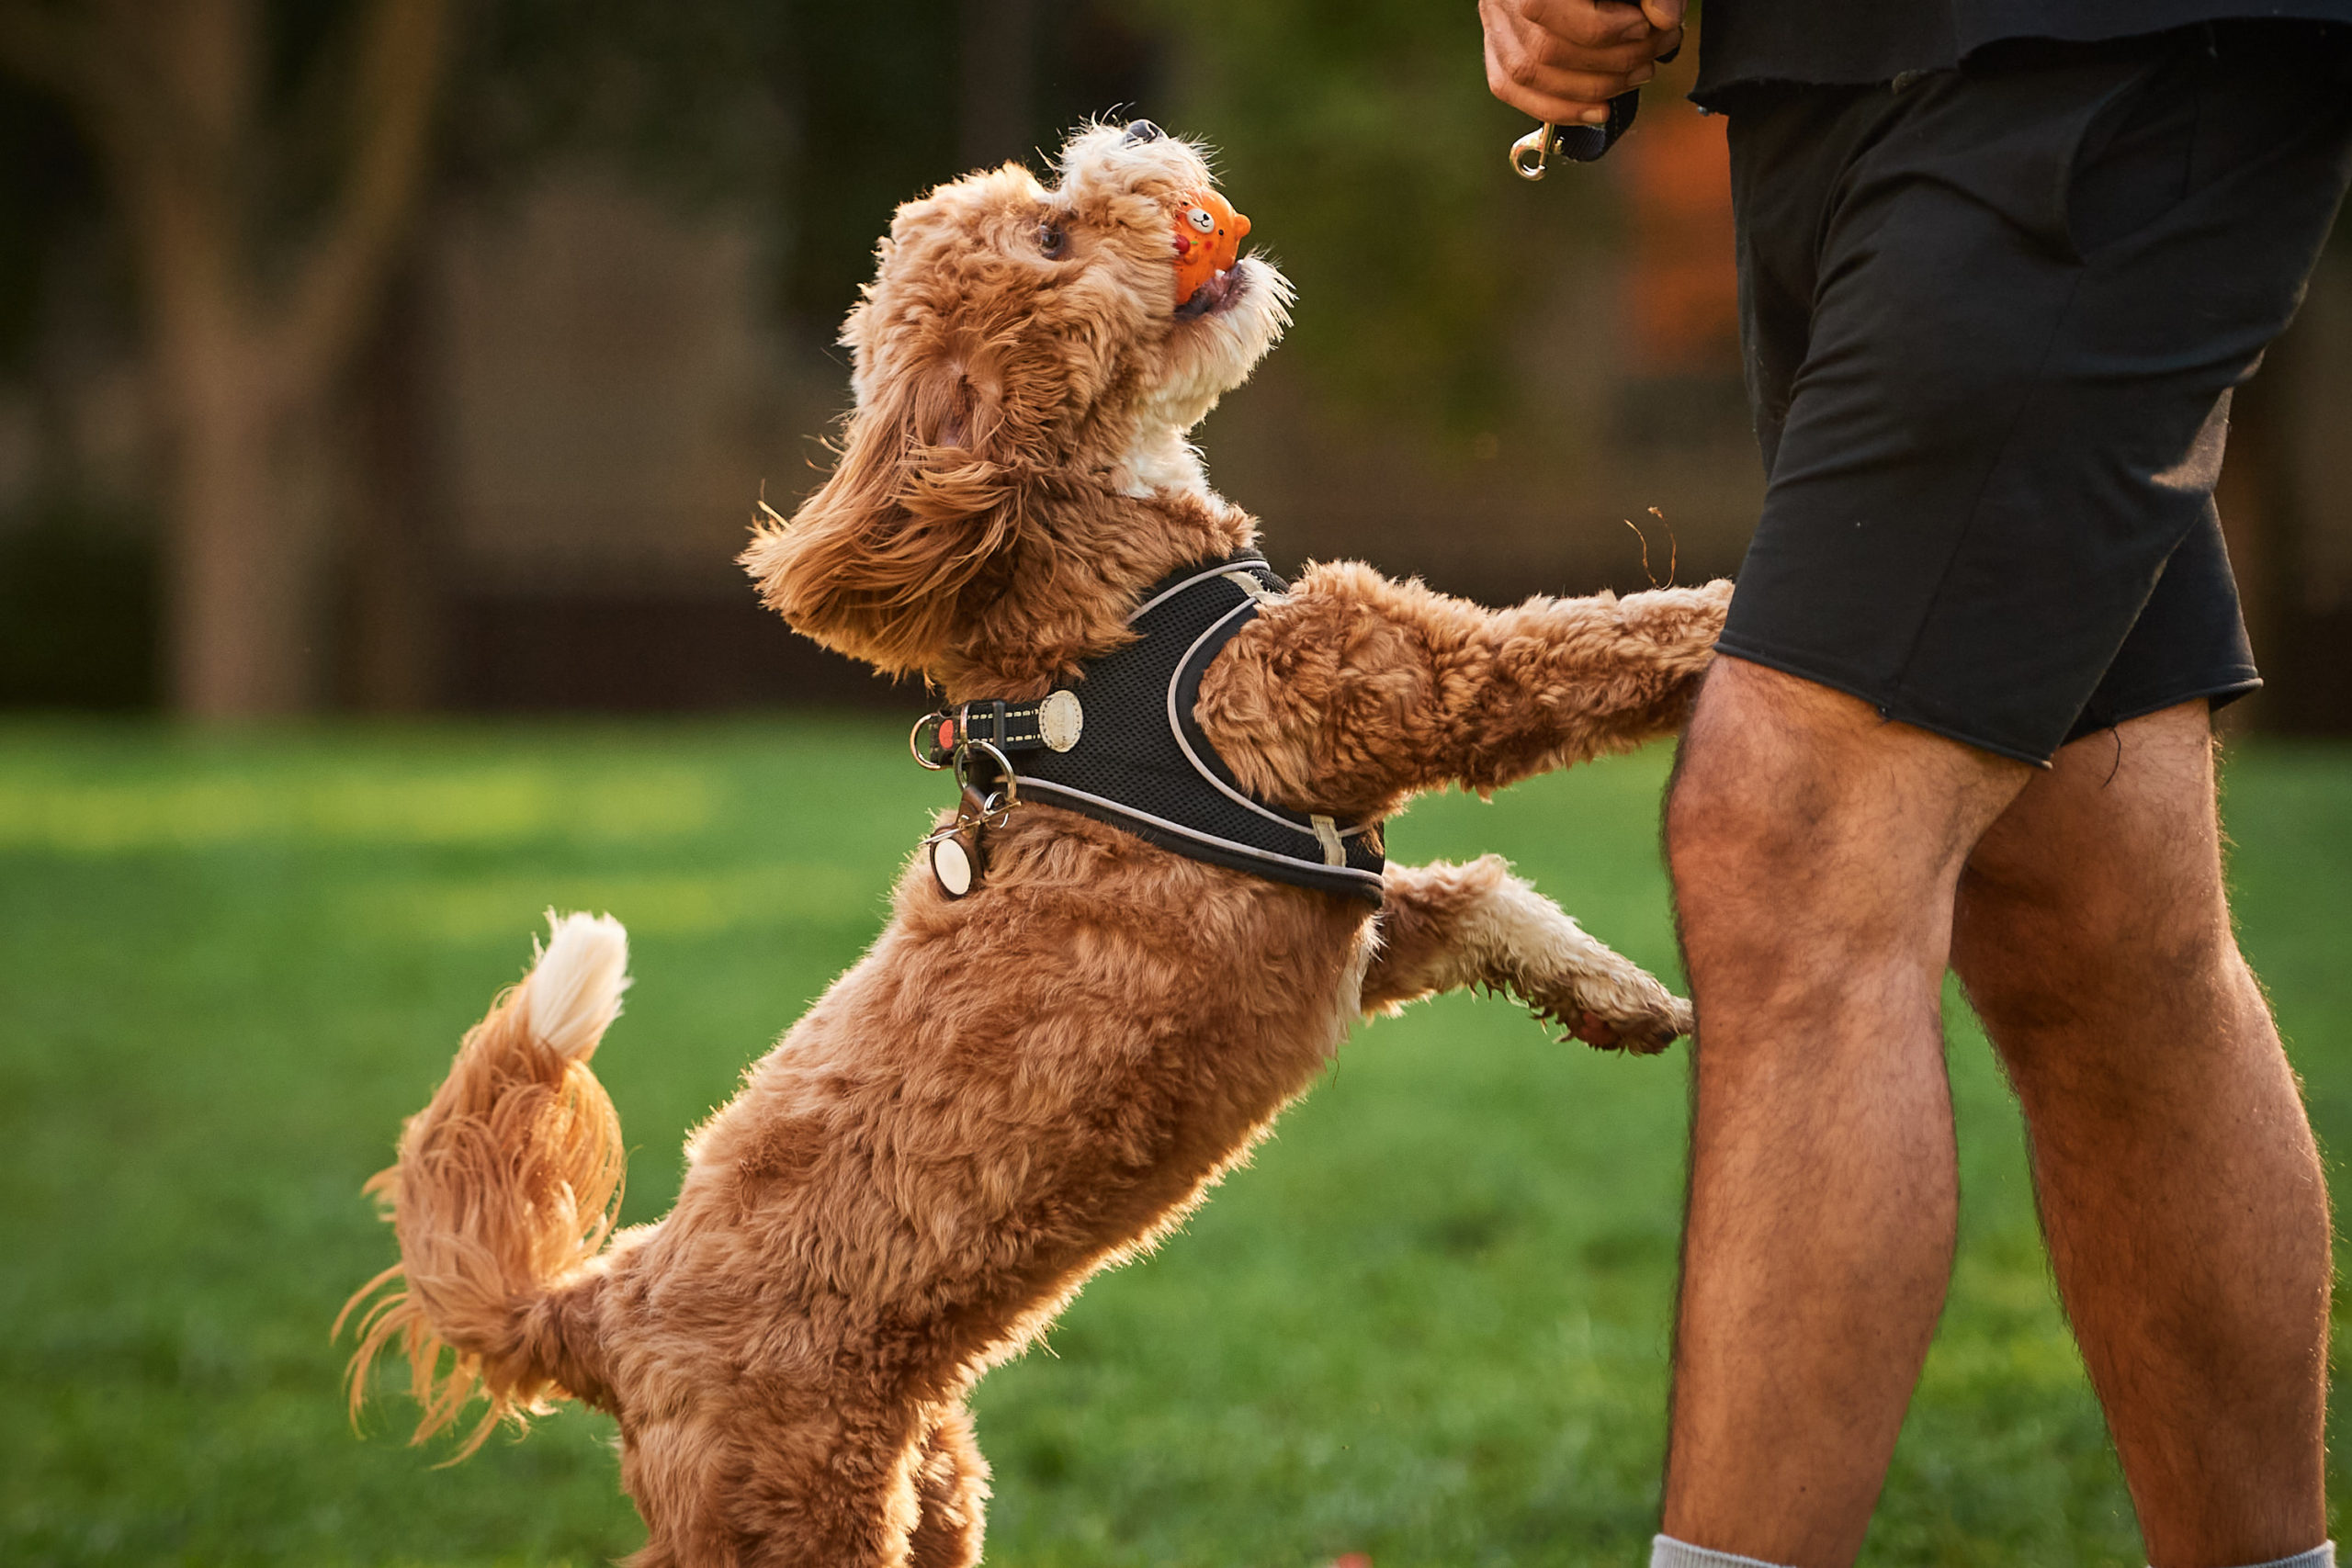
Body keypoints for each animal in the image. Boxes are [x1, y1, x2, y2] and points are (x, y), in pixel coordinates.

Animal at [343, 122, 1731, 1568]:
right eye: (1058, 236)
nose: (1140, 148)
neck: (1091, 604)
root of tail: (609, 1308)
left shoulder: (1344, 900)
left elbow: (1478, 901)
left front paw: (1623, 999)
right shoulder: (1361, 689)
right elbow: (1589, 642)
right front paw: (1734, 603)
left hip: (931, 1489)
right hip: (793, 1509)